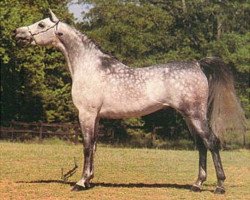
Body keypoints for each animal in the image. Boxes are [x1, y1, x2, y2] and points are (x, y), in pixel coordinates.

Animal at [14, 9, 246, 194]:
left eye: (41, 24)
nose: (17, 33)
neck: (90, 67)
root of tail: (197, 64)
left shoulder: (86, 113)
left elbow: (87, 146)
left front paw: (80, 183)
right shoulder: (96, 116)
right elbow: (95, 146)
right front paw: (89, 180)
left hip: (195, 115)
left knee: (212, 142)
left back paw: (219, 186)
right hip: (189, 117)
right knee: (201, 145)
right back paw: (197, 184)